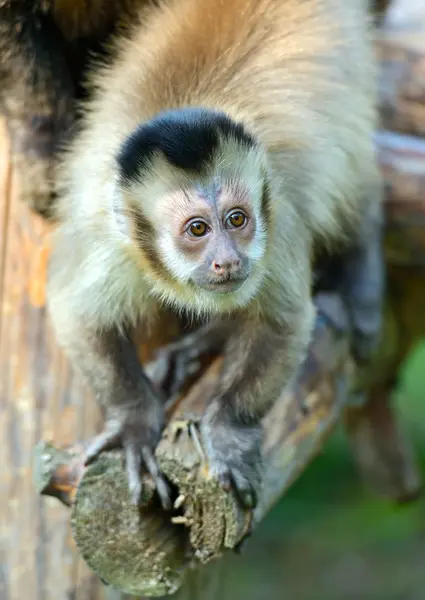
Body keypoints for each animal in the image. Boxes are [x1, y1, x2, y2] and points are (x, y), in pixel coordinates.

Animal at [46, 0, 384, 510]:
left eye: (237, 220)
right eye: (198, 230)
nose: (227, 260)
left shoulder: (280, 218)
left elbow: (284, 323)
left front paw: (229, 429)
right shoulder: (107, 236)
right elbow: (77, 314)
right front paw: (133, 424)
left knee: (354, 180)